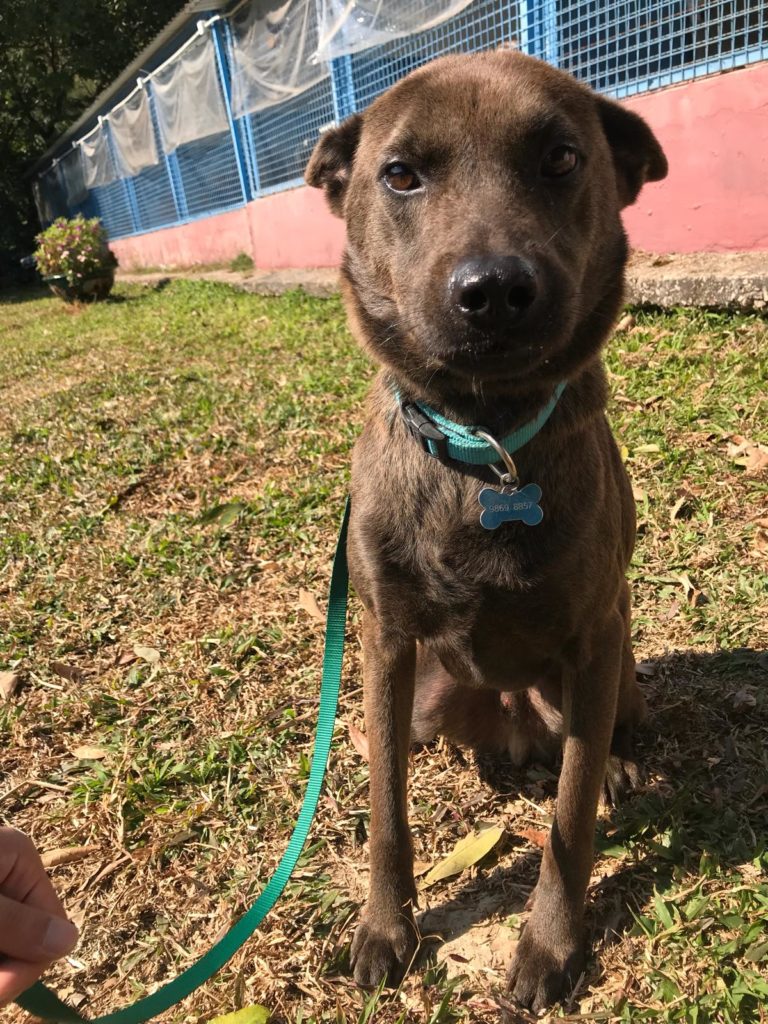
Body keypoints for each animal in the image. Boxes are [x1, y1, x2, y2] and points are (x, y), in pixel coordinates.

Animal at [307, 48, 667, 1007]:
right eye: (400, 173)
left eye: (562, 159)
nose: (495, 291)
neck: (486, 446)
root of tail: (509, 723)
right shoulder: (386, 644)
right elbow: (386, 814)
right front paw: (386, 926)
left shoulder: (593, 639)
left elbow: (569, 824)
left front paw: (551, 944)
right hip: (434, 698)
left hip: (608, 675)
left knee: (604, 736)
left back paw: (617, 765)